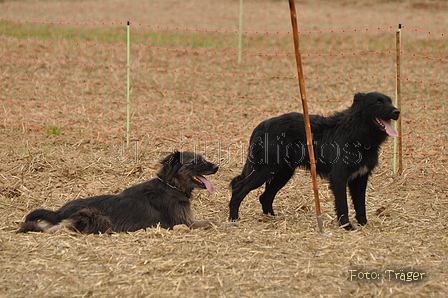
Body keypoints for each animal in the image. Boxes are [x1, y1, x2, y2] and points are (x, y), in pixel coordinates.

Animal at [18, 152, 233, 234]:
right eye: (196, 161)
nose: (217, 167)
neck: (171, 185)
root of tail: (59, 212)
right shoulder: (185, 223)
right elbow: (211, 222)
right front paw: (229, 225)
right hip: (95, 216)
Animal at [229, 92, 400, 229]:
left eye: (390, 101)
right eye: (378, 102)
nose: (397, 111)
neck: (355, 132)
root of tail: (261, 125)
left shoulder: (360, 177)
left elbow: (360, 204)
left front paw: (363, 224)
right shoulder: (339, 177)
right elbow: (343, 205)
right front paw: (346, 226)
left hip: (283, 173)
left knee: (265, 196)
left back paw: (271, 217)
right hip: (265, 170)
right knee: (239, 189)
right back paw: (233, 217)